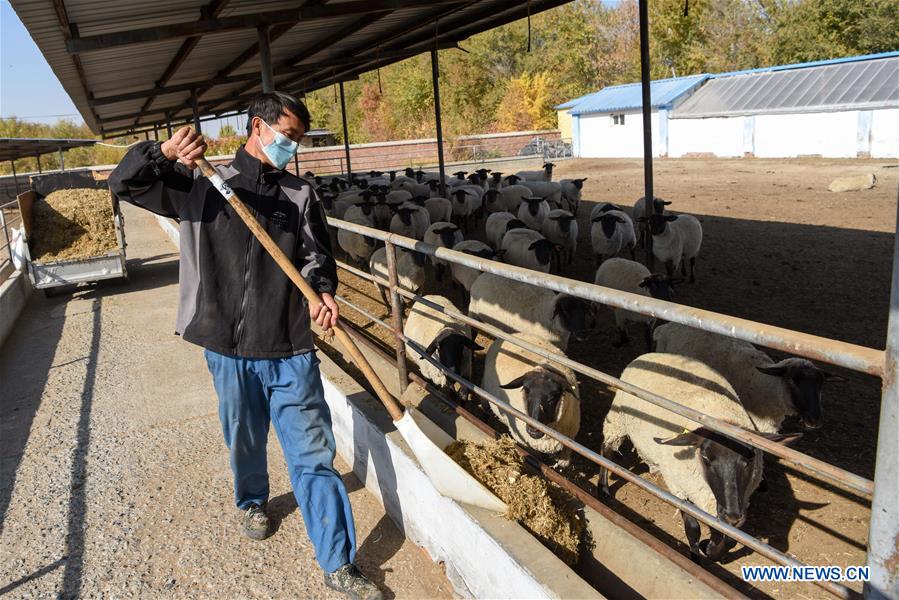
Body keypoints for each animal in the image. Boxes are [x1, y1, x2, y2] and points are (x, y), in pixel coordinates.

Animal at [600, 352, 800, 564]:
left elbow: (729, 539)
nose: (732, 516)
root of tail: (650, 354)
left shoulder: (731, 501)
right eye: (705, 458)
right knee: (606, 449)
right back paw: (603, 489)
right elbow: (693, 528)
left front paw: (711, 547)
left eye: (750, 460)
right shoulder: (679, 487)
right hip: (618, 418)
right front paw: (696, 555)